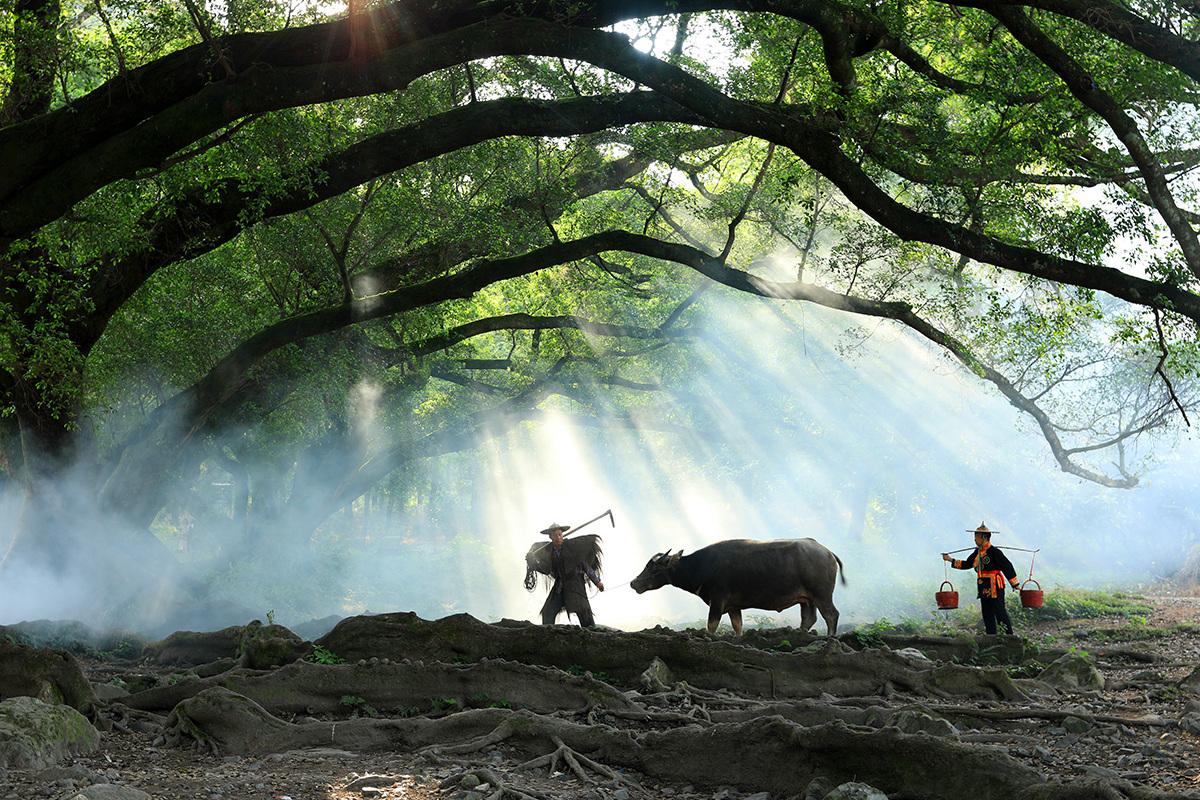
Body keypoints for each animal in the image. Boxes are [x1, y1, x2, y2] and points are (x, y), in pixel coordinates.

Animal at [628, 537, 844, 638]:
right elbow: (737, 626)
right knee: (809, 618)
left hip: (822, 594)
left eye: (652, 567)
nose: (633, 582)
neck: (699, 566)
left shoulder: (717, 600)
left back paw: (829, 637)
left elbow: (711, 625)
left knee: (831, 615)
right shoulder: (733, 606)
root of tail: (827, 552)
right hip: (807, 599)